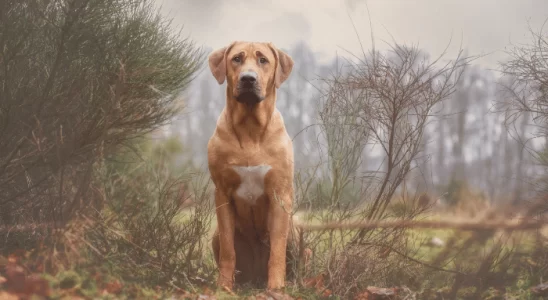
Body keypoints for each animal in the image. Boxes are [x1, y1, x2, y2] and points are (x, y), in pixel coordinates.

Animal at [208, 41, 298, 292]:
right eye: (236, 59)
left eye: (263, 60)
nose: (248, 79)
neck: (250, 128)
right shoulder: (222, 193)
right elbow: (228, 250)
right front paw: (224, 286)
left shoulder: (280, 194)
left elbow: (277, 250)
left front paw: (276, 288)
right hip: (215, 235)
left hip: (297, 228)